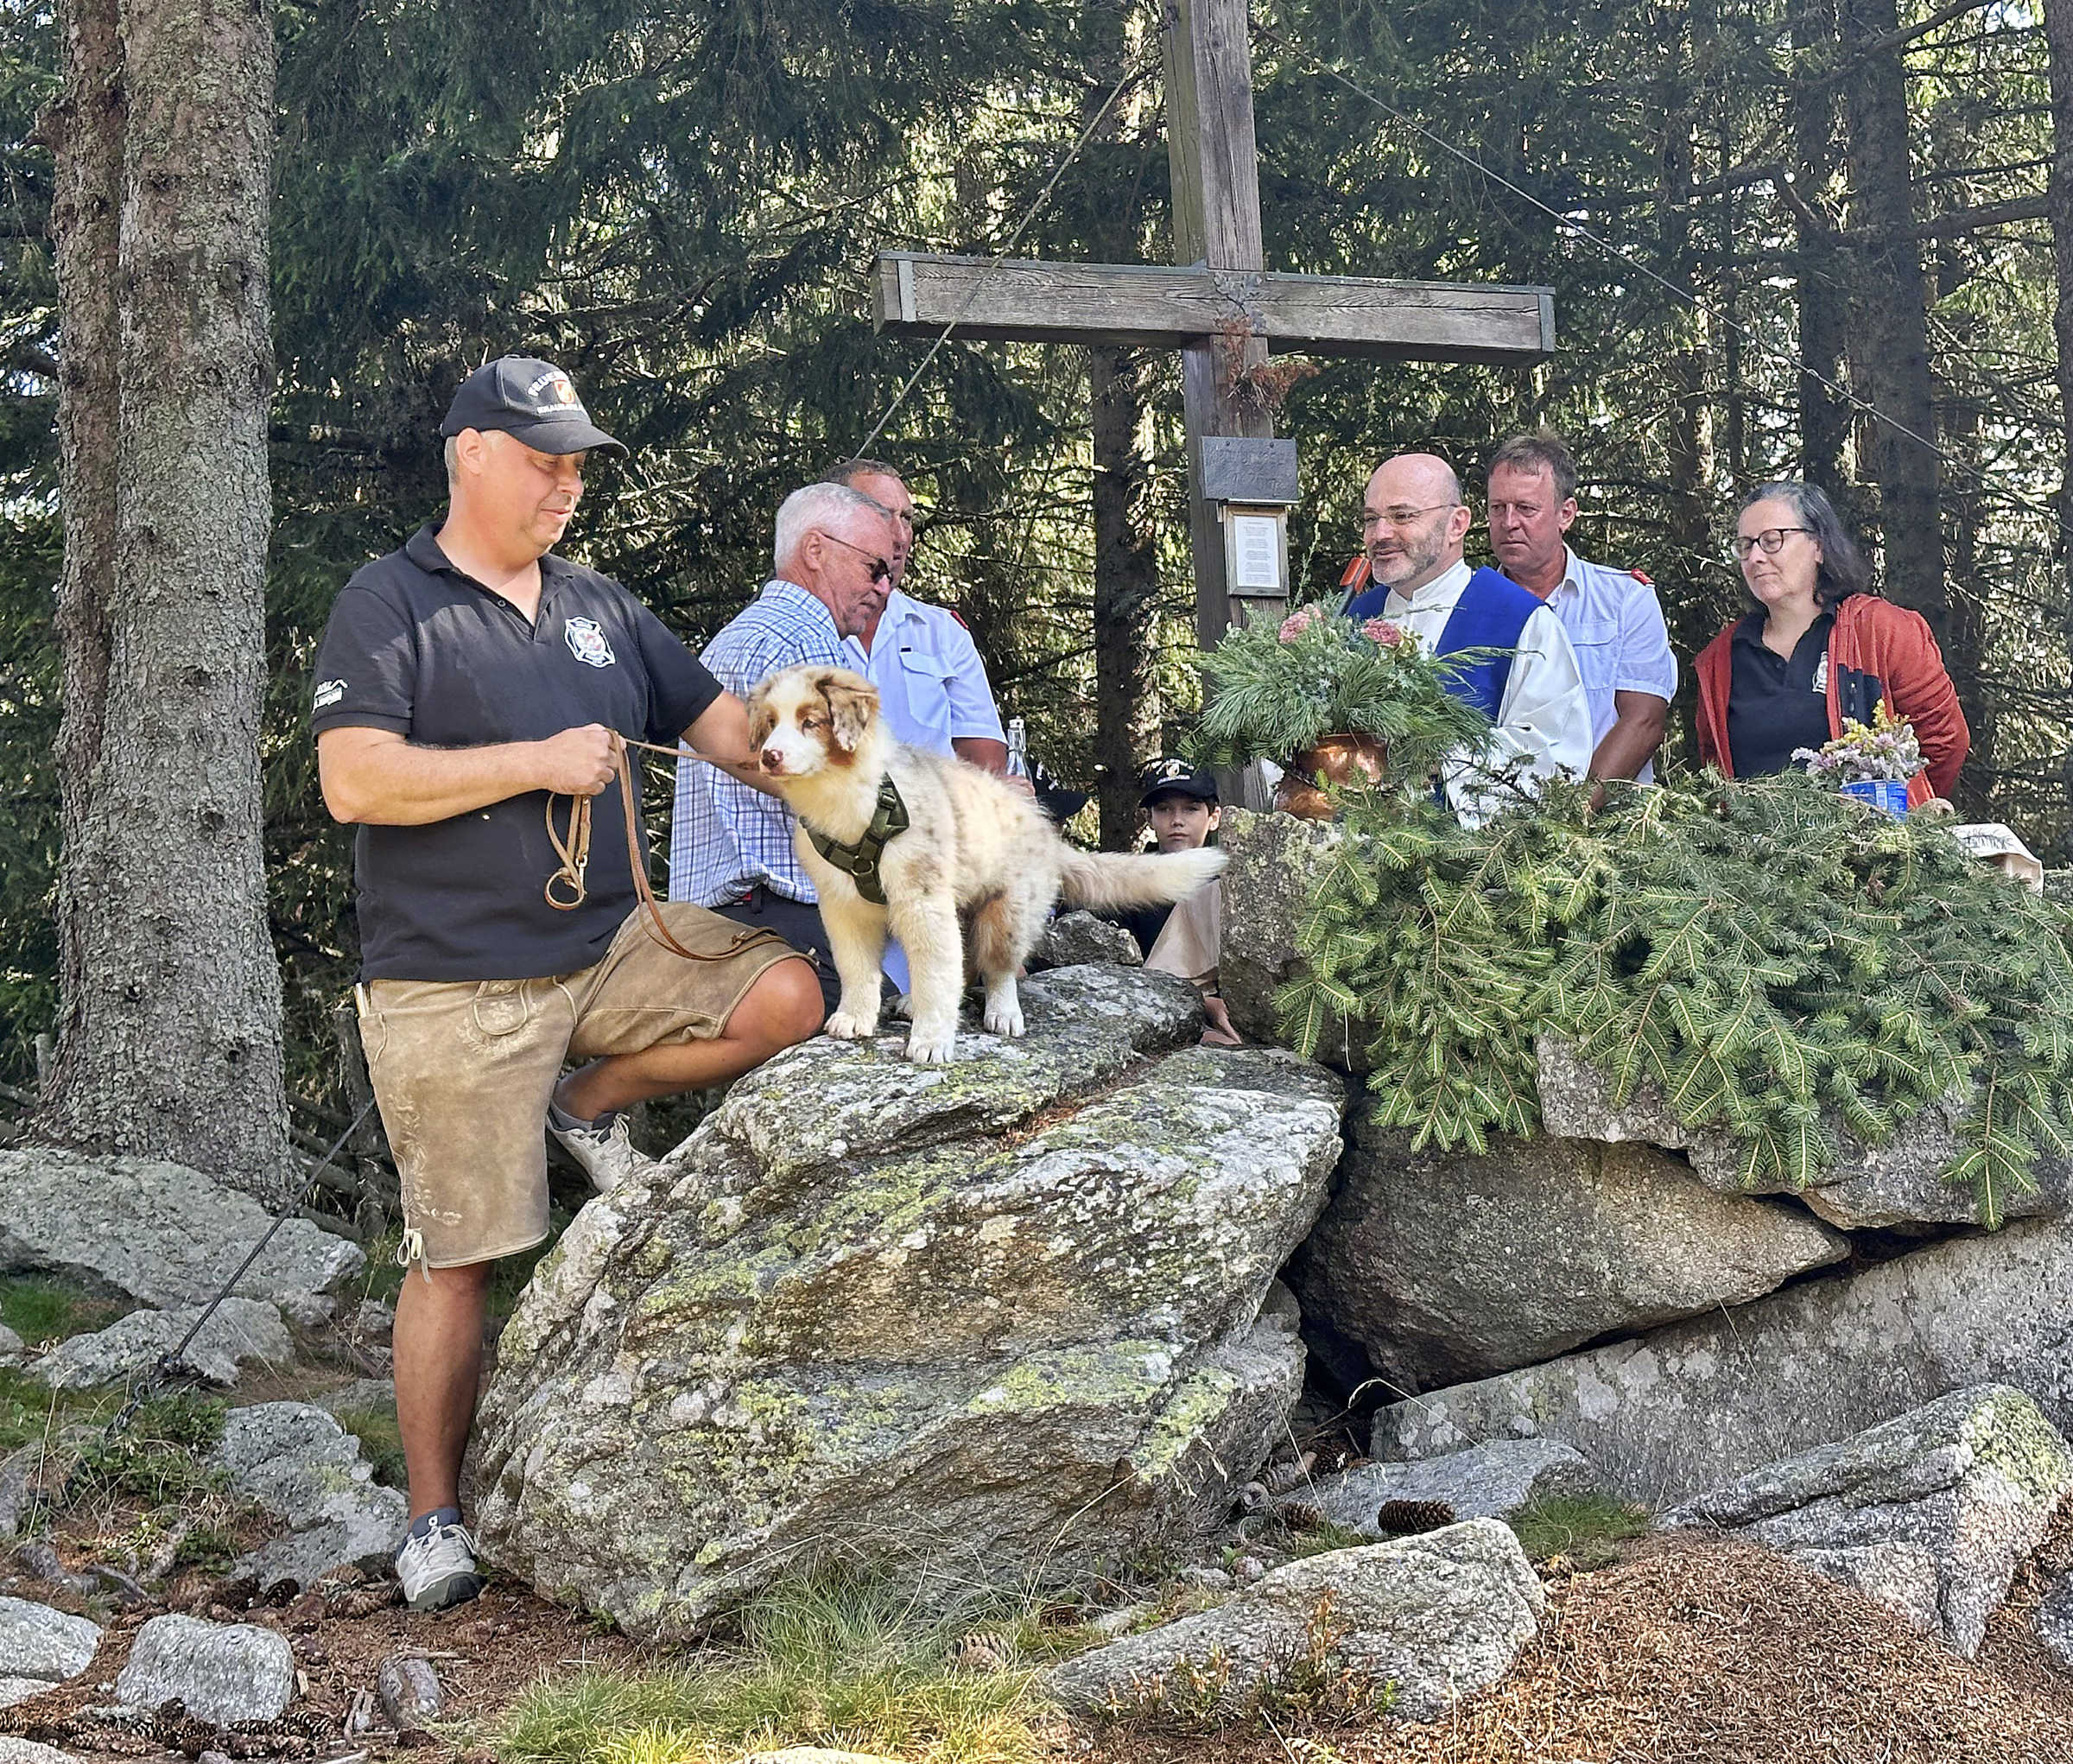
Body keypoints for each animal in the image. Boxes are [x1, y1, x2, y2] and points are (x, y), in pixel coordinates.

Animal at [745, 664, 1226, 1064]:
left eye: (811, 721)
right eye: (770, 724)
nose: (769, 756)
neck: (850, 800)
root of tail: (1047, 832)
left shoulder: (922, 901)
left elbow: (936, 974)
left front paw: (931, 1042)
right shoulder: (844, 906)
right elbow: (857, 967)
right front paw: (854, 1018)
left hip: (1008, 911)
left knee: (997, 967)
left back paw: (1003, 1013)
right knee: (963, 962)